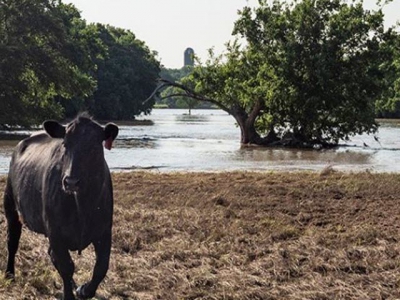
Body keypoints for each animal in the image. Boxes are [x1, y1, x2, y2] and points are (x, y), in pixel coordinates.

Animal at [3, 113, 119, 300]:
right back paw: (9, 275)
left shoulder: (104, 231)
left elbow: (101, 267)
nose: (71, 181)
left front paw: (83, 289)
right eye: (65, 144)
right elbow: (66, 266)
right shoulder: (55, 232)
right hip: (11, 208)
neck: (82, 204)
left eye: (95, 147)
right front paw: (69, 294)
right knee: (12, 242)